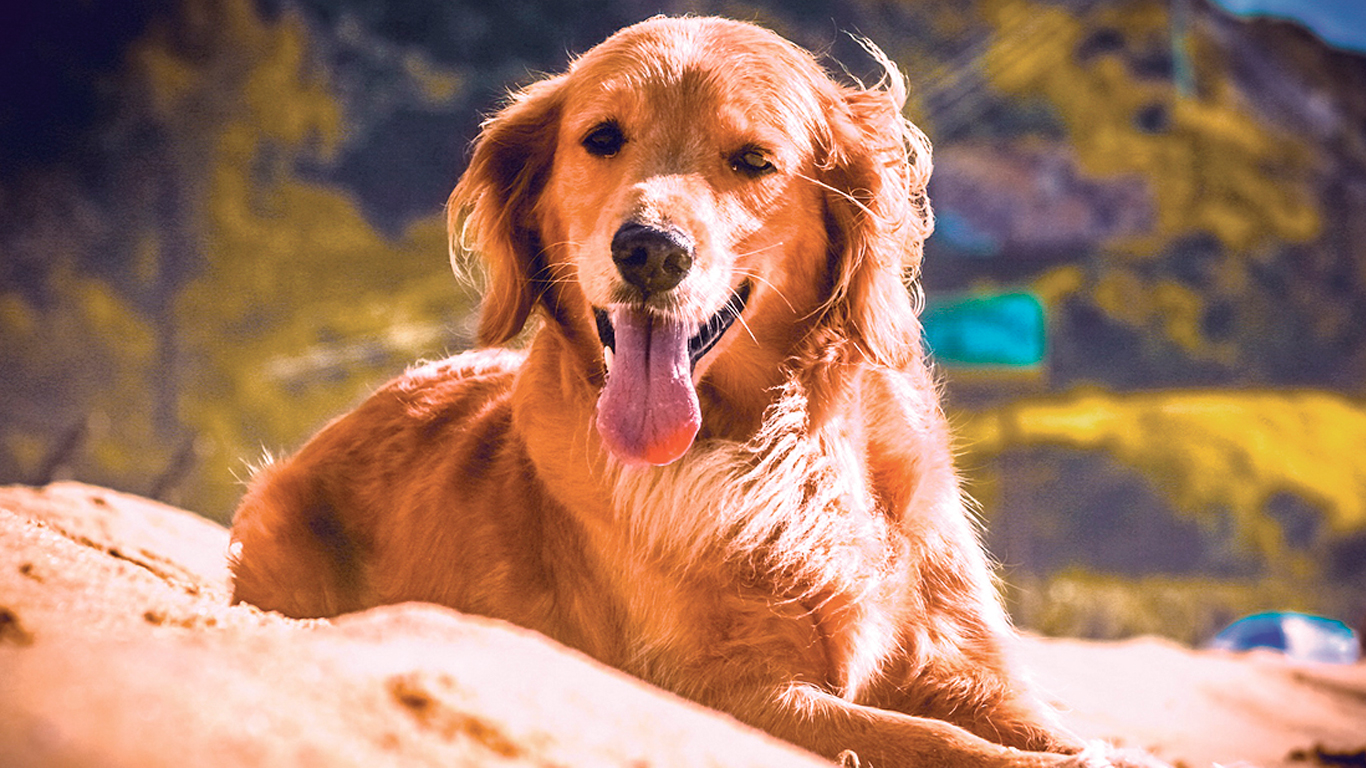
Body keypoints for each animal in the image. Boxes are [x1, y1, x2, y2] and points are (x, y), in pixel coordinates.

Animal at [232, 17, 1141, 765]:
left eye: (753, 161)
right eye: (601, 138)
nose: (650, 249)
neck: (780, 448)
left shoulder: (968, 663)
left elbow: (1045, 734)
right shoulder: (730, 688)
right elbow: (936, 743)